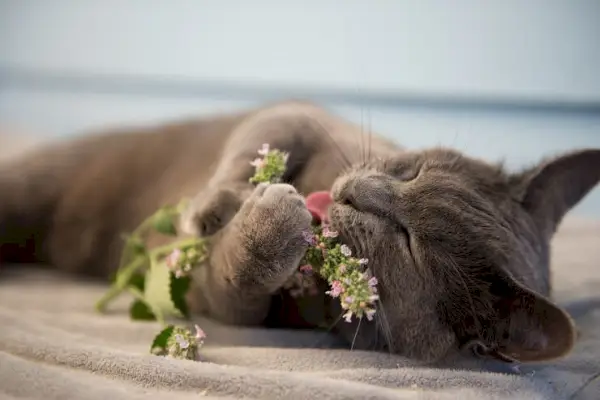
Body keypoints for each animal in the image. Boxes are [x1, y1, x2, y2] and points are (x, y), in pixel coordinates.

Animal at [0, 101, 596, 366]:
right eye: (413, 171)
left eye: (409, 242)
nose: (358, 194)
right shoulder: (306, 116)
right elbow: (266, 130)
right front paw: (210, 208)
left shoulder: (227, 303)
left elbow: (234, 283)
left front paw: (267, 224)